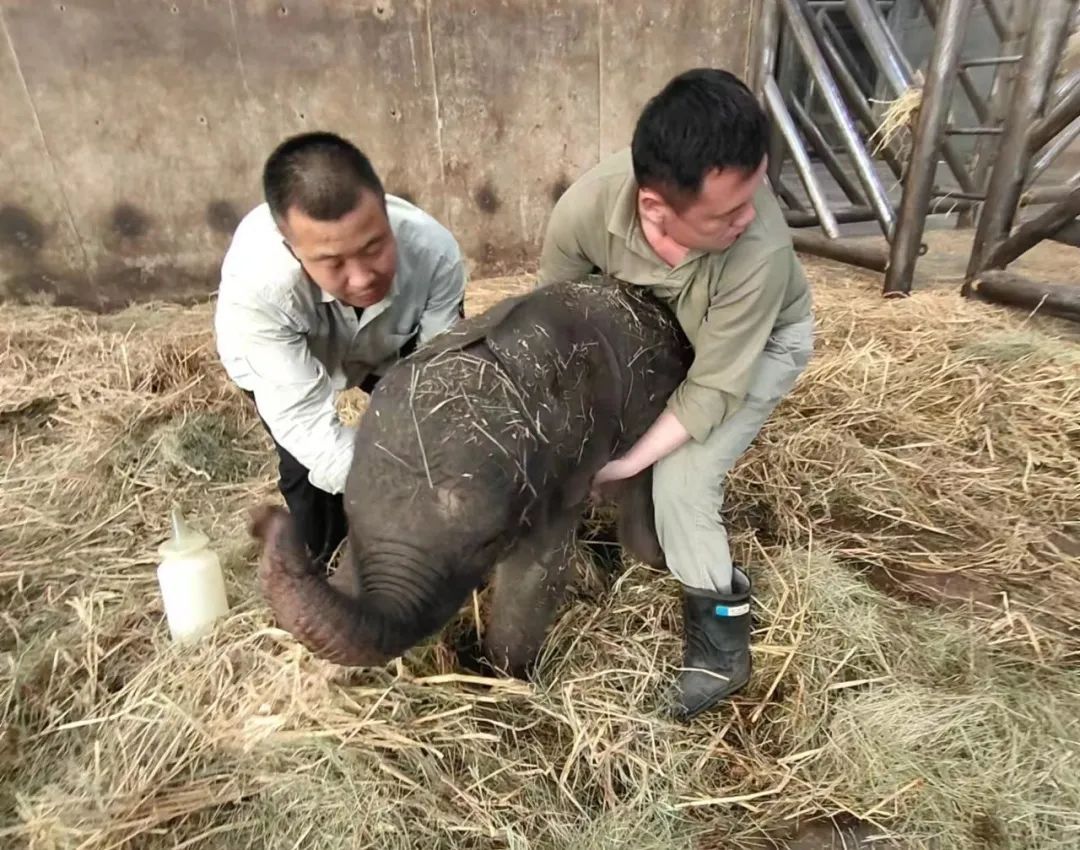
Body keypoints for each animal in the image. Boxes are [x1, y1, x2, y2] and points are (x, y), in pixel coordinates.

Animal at [249, 275, 693, 678]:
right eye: (349, 516)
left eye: (488, 544)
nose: (263, 520)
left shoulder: (560, 478)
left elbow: (534, 577)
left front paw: (502, 678)